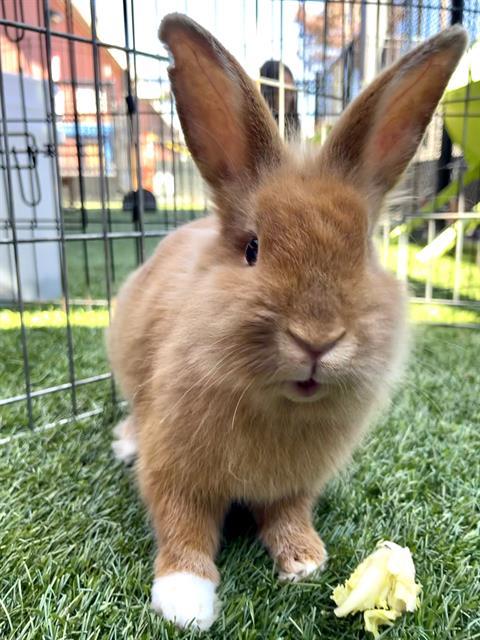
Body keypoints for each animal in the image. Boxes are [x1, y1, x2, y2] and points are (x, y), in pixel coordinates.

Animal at [107, 14, 466, 631]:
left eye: (363, 251)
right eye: (252, 248)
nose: (317, 340)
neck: (276, 405)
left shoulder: (296, 485)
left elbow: (287, 515)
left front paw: (306, 561)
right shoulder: (174, 469)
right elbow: (182, 525)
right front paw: (185, 602)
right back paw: (123, 443)